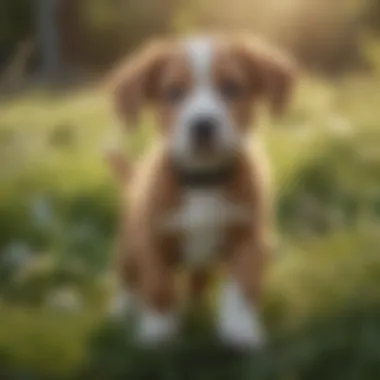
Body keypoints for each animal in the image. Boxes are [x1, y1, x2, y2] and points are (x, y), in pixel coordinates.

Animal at [107, 34, 296, 348]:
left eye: (231, 87)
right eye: (173, 92)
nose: (203, 125)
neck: (203, 182)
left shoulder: (250, 238)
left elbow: (242, 286)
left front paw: (240, 329)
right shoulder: (153, 241)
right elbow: (158, 285)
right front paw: (158, 332)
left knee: (198, 280)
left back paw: (195, 307)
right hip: (128, 247)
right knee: (128, 278)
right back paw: (122, 309)